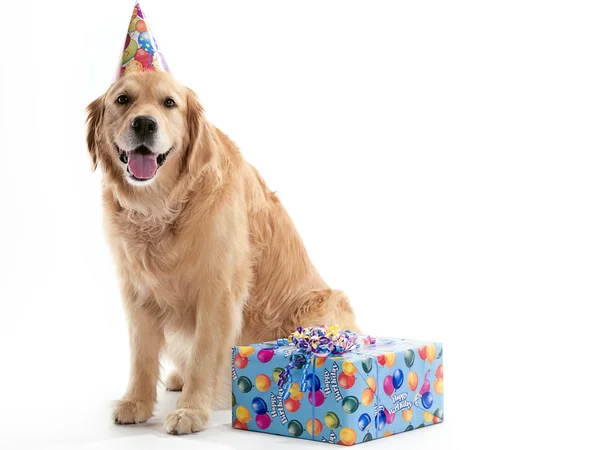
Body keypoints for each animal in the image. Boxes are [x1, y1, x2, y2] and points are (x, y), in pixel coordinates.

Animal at [86, 72, 358, 434]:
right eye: (122, 100)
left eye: (169, 103)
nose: (144, 123)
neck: (161, 209)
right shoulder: (136, 290)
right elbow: (141, 355)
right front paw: (136, 403)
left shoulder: (218, 292)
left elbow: (203, 356)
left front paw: (191, 411)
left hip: (318, 308)